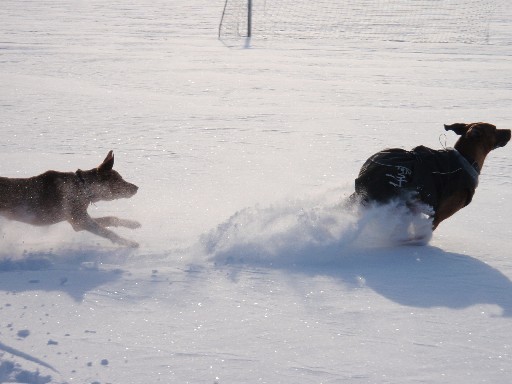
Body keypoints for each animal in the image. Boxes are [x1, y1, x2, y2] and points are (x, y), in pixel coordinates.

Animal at [0, 152, 140, 248]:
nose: (137, 187)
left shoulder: (77, 221)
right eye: (119, 180)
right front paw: (128, 242)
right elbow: (107, 232)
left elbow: (111, 218)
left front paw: (133, 224)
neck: (83, 187)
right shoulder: (80, 221)